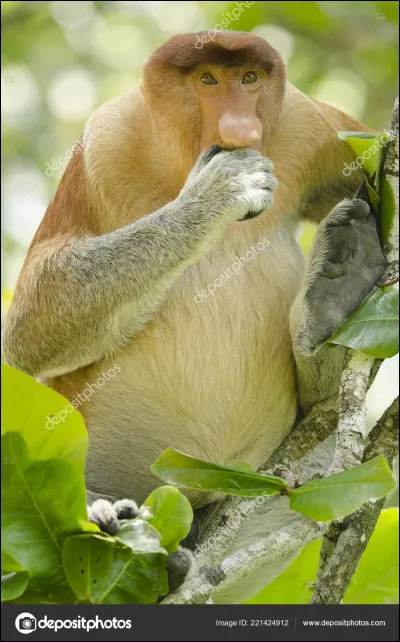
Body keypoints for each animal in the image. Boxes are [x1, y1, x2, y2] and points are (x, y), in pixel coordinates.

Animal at [2, 31, 386, 602]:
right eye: (207, 80)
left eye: (249, 79)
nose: (241, 128)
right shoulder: (103, 144)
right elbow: (32, 316)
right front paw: (217, 192)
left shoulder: (309, 122)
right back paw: (109, 517)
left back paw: (334, 294)